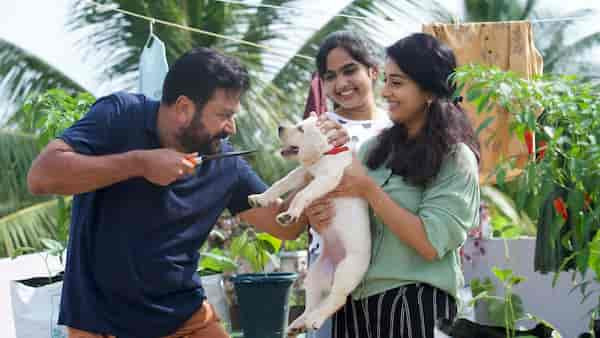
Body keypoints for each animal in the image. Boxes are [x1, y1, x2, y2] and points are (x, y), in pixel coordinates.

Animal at [247, 114, 370, 332]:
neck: (325, 154)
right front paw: (260, 198)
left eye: (300, 129)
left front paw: (290, 214)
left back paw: (315, 320)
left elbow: (301, 195)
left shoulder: (326, 179)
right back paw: (298, 324)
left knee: (336, 299)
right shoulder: (303, 172)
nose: (279, 127)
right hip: (314, 275)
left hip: (348, 270)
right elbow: (280, 183)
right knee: (311, 304)